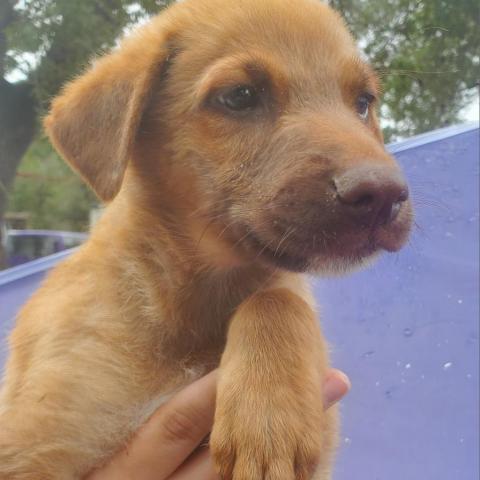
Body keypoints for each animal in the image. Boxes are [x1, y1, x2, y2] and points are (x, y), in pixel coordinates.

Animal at [0, 0, 413, 478]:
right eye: (240, 96)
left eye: (363, 102)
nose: (384, 195)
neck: (189, 304)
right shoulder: (34, 447)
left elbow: (276, 298)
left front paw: (268, 424)